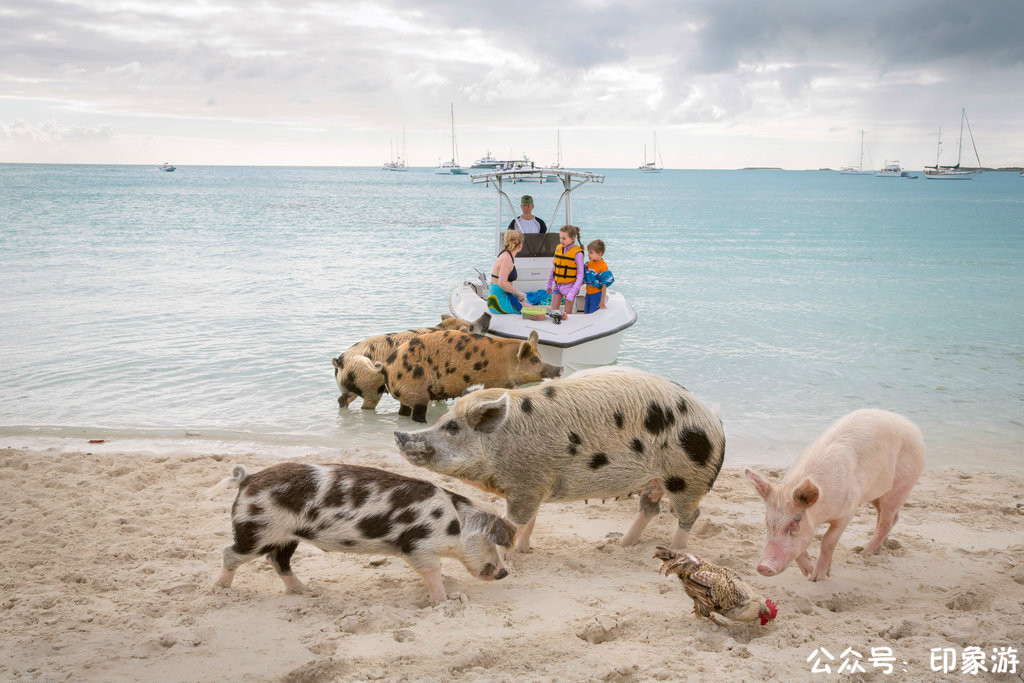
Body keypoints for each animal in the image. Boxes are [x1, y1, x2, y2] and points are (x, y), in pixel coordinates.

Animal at [209, 458, 512, 602]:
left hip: (286, 536)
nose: (505, 573)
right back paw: (219, 590)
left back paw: (305, 592)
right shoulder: (418, 545)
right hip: (257, 530)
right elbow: (432, 571)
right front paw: (443, 601)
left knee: (278, 561)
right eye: (493, 543)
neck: (453, 524)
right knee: (230, 553)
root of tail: (248, 480)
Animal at [385, 327, 561, 421]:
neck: (506, 361)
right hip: (415, 386)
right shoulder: (494, 382)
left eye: (540, 356)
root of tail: (387, 366)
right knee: (418, 410)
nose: (559, 368)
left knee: (404, 410)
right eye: (534, 360)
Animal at [393, 366, 729, 552]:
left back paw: (675, 550)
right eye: (441, 420)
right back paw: (622, 545)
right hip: (655, 481)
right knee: (650, 508)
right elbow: (529, 523)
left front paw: (512, 554)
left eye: (451, 427)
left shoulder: (526, 486)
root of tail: (715, 422)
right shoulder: (534, 486)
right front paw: (525, 551)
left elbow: (515, 522)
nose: (399, 434)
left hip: (687, 478)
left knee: (690, 515)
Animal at [745, 411, 929, 581]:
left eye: (795, 522)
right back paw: (875, 550)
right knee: (890, 518)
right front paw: (810, 572)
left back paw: (864, 553)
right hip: (877, 493)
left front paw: (817, 577)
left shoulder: (848, 511)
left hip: (902, 484)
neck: (821, 513)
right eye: (767, 523)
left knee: (887, 520)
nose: (763, 567)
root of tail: (912, 427)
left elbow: (827, 541)